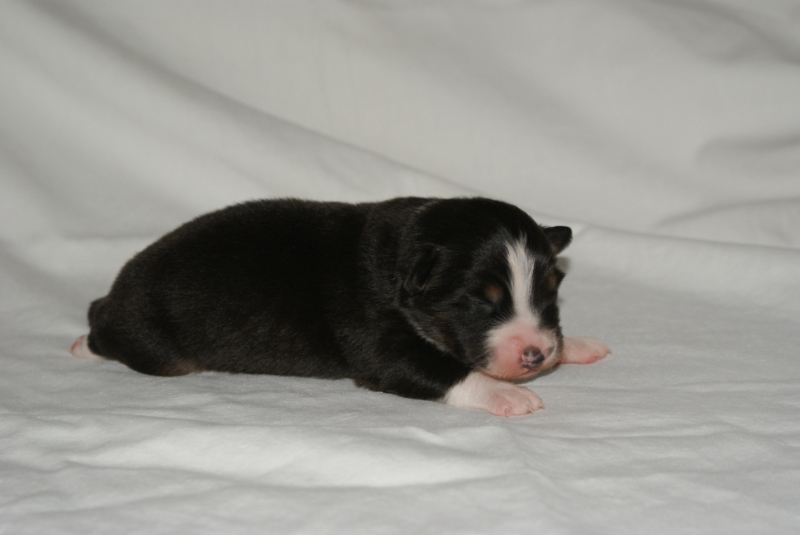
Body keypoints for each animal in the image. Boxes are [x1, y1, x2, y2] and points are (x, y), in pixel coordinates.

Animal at [71, 197, 609, 416]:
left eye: (550, 292)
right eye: (478, 302)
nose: (536, 355)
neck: (400, 260)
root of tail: (117, 290)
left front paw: (576, 345)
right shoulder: (379, 344)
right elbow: (445, 370)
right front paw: (509, 396)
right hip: (151, 342)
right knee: (105, 330)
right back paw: (84, 343)